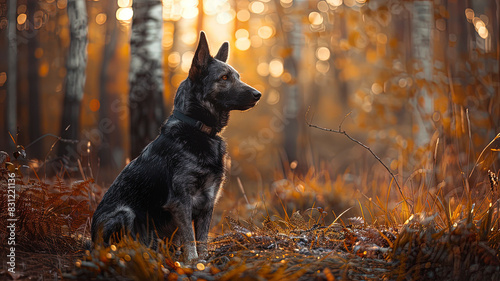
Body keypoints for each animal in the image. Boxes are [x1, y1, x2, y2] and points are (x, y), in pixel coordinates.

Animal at [91, 31, 262, 260]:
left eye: (238, 77)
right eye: (224, 78)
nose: (258, 95)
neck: (198, 129)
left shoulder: (208, 200)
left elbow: (202, 240)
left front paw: (204, 260)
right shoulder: (181, 201)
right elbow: (190, 238)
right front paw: (193, 261)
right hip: (125, 214)